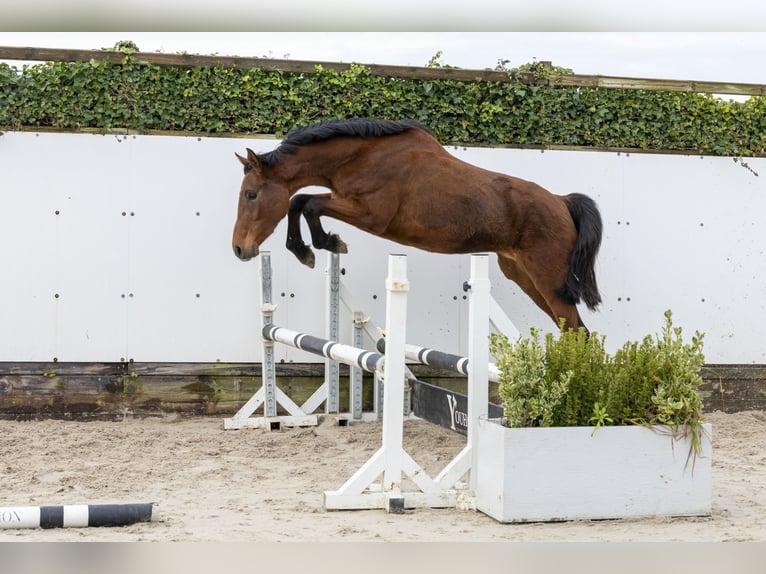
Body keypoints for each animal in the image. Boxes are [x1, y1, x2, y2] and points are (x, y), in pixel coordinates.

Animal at [232, 118, 602, 331]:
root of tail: (561, 202)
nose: (239, 249)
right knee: (574, 331)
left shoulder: (370, 215)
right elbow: (299, 201)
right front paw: (305, 250)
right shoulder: (344, 200)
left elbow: (309, 204)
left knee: (576, 332)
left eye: (251, 194)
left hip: (548, 280)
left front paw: (326, 244)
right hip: (523, 276)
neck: (360, 156)